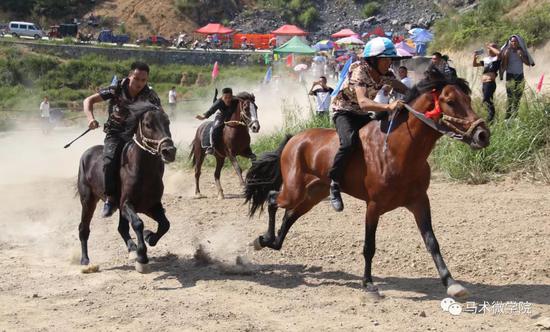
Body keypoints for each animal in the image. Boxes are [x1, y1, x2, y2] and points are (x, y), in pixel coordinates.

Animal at [77, 104, 176, 272]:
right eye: (148, 124)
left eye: (167, 122)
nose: (169, 151)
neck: (141, 170)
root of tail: (86, 154)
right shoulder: (126, 204)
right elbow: (138, 223)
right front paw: (142, 257)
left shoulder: (151, 205)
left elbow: (165, 224)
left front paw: (149, 237)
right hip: (88, 201)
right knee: (84, 228)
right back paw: (85, 260)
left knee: (121, 228)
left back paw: (132, 248)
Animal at [246, 72, 492, 298]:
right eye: (450, 101)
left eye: (468, 99)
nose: (483, 134)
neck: (397, 150)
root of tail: (295, 139)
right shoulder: (373, 206)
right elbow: (369, 247)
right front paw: (369, 283)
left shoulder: (420, 201)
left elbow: (432, 242)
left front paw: (451, 282)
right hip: (294, 190)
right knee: (272, 199)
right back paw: (264, 239)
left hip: (314, 194)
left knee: (290, 215)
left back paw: (272, 242)